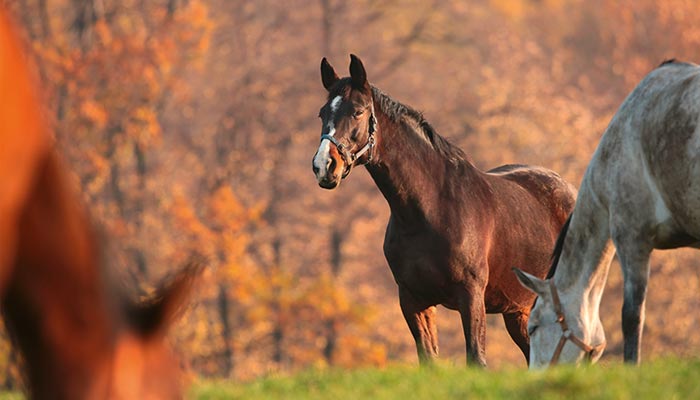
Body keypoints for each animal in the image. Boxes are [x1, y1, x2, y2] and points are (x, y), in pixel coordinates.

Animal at [312, 54, 576, 368]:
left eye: (358, 112)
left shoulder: (471, 297)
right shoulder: (413, 300)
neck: (428, 212)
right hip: (519, 312)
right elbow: (428, 358)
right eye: (322, 113)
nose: (324, 166)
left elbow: (476, 358)